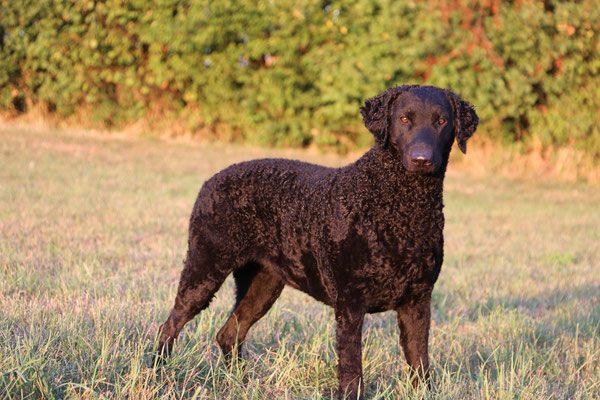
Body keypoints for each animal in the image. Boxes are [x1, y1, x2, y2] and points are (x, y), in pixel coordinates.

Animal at [158, 83, 478, 396]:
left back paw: (241, 384)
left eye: (441, 121)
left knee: (229, 334)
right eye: (404, 119)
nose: (421, 159)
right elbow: (351, 370)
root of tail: (211, 179)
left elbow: (420, 363)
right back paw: (161, 372)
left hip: (264, 284)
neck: (399, 208)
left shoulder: (418, 300)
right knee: (169, 326)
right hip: (204, 269)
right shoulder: (350, 303)